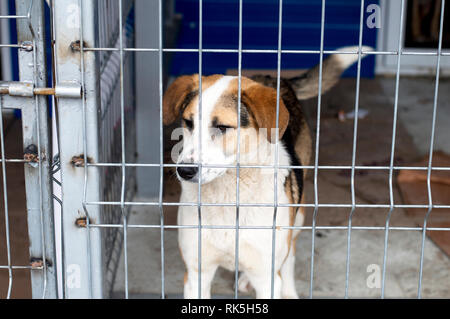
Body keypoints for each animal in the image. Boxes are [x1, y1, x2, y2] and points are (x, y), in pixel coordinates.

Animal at [163, 45, 370, 300]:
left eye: (222, 127)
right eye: (188, 123)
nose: (184, 171)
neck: (229, 194)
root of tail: (275, 78)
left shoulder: (267, 276)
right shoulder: (196, 274)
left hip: (297, 217)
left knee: (289, 258)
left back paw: (288, 291)